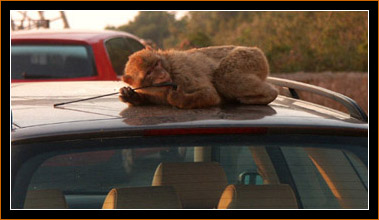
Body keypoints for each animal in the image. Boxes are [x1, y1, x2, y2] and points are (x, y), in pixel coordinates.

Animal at [119, 45, 280, 109]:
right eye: (149, 72)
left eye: (157, 64)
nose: (163, 74)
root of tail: (256, 49)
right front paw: (131, 96)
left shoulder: (181, 72)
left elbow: (211, 94)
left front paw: (179, 99)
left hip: (250, 58)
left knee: (223, 78)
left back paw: (269, 94)